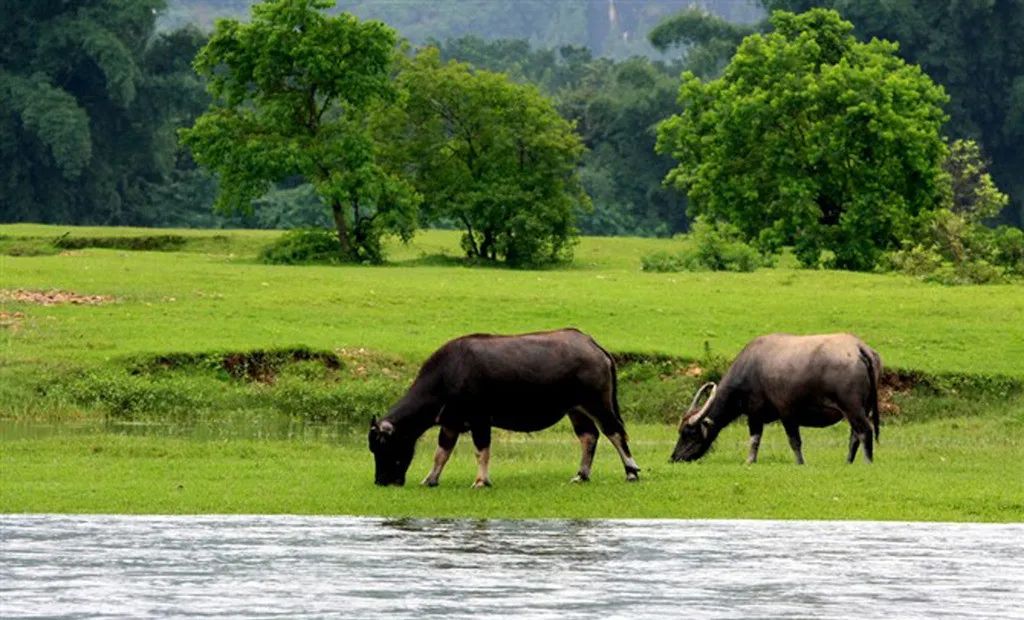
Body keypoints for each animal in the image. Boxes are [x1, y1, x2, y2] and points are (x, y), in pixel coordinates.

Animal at [368, 327, 638, 487]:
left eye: (384, 446)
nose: (381, 481)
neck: (448, 374)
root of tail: (593, 345)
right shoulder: (450, 423)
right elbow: (441, 452)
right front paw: (430, 479)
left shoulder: (480, 420)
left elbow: (481, 451)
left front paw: (481, 481)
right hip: (575, 409)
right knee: (589, 436)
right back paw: (581, 475)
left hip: (597, 402)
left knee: (615, 432)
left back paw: (632, 472)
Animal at [671, 334, 880, 463]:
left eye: (689, 433)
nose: (674, 458)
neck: (750, 369)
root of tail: (859, 348)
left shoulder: (775, 414)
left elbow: (782, 441)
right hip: (862, 408)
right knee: (855, 436)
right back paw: (848, 462)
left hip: (852, 407)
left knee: (864, 431)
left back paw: (867, 462)